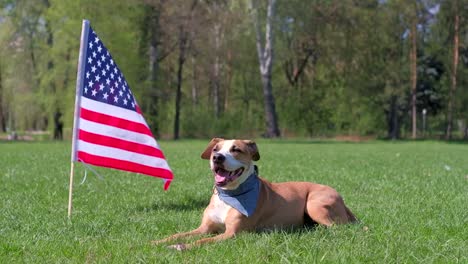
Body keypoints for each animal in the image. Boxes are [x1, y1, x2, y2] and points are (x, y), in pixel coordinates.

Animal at [152, 137, 356, 251]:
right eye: (216, 149)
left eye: (236, 149)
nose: (217, 157)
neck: (229, 195)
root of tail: (341, 198)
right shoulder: (204, 228)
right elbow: (178, 234)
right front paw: (157, 241)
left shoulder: (232, 233)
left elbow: (202, 241)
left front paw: (181, 247)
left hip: (314, 204)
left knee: (337, 227)